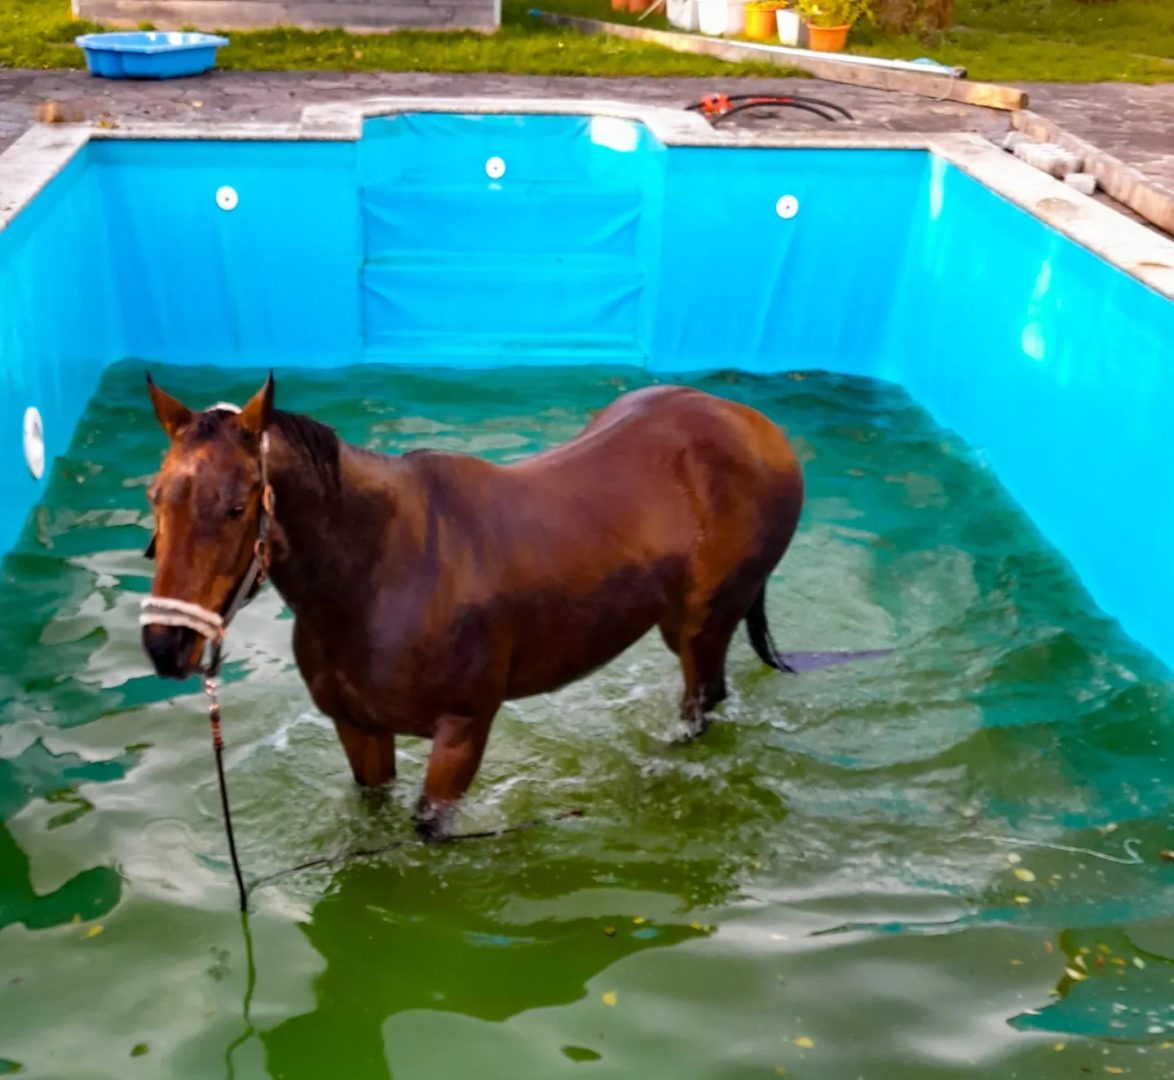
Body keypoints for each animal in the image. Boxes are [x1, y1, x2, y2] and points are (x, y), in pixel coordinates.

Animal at [139, 373, 875, 838]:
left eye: (238, 507)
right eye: (156, 496)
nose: (165, 644)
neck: (380, 574)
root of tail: (754, 426)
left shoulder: (463, 731)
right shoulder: (359, 729)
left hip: (702, 626)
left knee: (702, 704)